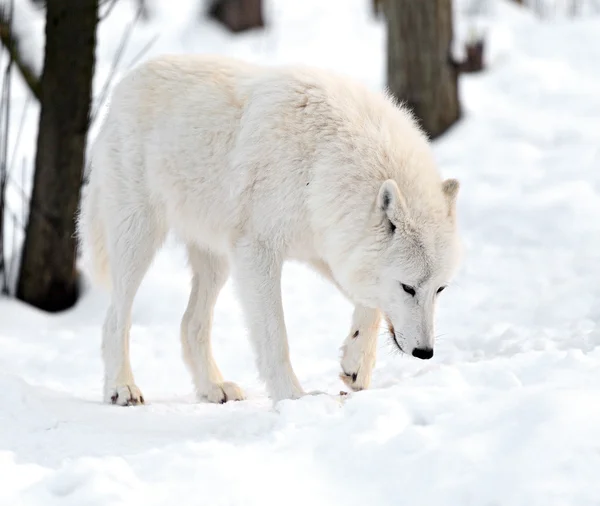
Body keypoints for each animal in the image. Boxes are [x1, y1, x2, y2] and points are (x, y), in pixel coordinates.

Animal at [77, 52, 462, 408]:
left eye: (440, 289)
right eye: (408, 288)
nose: (425, 352)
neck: (323, 161)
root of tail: (122, 87)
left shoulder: (327, 247)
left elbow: (370, 302)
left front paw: (356, 364)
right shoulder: (258, 251)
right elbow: (275, 336)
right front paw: (293, 399)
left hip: (217, 259)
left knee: (190, 324)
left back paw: (213, 388)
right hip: (138, 239)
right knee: (115, 318)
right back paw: (122, 388)